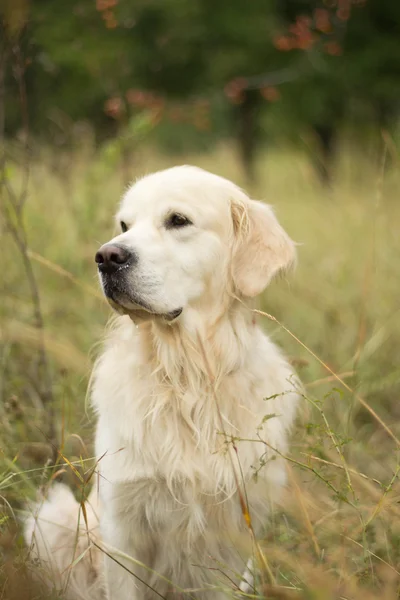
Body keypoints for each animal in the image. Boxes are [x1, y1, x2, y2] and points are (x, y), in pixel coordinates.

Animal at [24, 165, 300, 600]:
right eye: (124, 225)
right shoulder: (122, 527)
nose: (106, 256)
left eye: (178, 220)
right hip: (57, 518)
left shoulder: (234, 532)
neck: (186, 377)